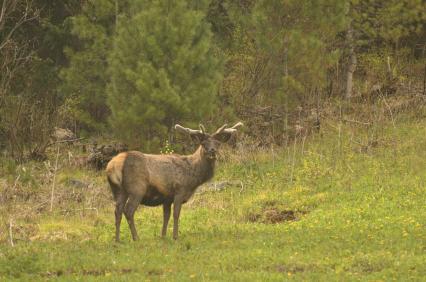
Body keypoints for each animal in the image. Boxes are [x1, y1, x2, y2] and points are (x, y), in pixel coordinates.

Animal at [105, 121, 243, 240]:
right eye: (203, 143)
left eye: (218, 144)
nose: (212, 151)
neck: (193, 176)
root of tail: (113, 165)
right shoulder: (179, 190)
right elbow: (176, 214)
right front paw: (175, 236)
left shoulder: (167, 198)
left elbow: (166, 216)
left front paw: (163, 235)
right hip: (137, 189)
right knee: (128, 211)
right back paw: (136, 238)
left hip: (118, 190)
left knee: (117, 211)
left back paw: (117, 240)